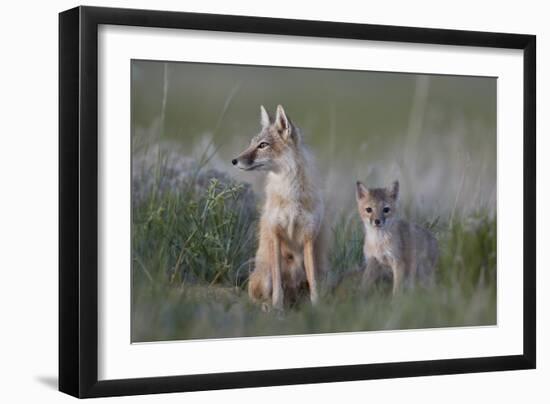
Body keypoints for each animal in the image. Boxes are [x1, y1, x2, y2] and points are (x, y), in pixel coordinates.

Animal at [233, 105, 328, 310]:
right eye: (252, 143)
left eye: (263, 145)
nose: (234, 161)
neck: (290, 196)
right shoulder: (275, 234)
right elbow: (278, 287)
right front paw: (278, 309)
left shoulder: (308, 237)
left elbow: (314, 284)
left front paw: (317, 307)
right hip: (265, 272)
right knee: (259, 297)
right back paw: (268, 307)